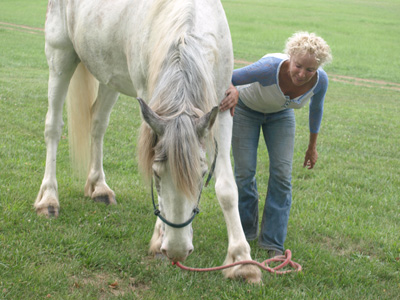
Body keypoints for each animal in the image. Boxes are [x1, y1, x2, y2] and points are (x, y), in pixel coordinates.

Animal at [36, 0, 260, 282]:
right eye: (156, 173)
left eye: (201, 175)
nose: (176, 250)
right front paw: (159, 237)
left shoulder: (221, 109)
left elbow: (227, 188)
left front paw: (242, 260)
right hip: (61, 56)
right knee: (53, 127)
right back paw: (48, 199)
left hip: (109, 73)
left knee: (98, 123)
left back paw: (99, 187)